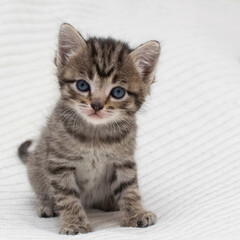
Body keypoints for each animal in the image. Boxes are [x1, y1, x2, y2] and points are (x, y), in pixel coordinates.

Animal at [17, 23, 160, 234]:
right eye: (82, 85)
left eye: (118, 92)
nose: (97, 105)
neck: (95, 134)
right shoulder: (60, 163)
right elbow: (67, 196)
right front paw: (75, 223)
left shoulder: (123, 160)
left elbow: (129, 189)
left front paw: (136, 213)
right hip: (36, 165)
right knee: (41, 189)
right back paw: (47, 204)